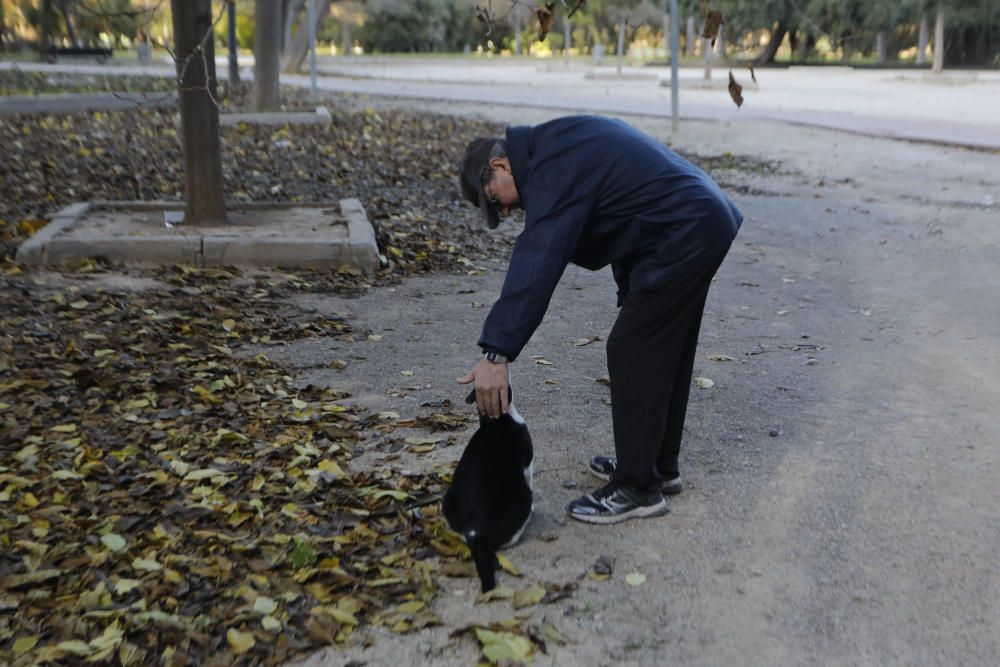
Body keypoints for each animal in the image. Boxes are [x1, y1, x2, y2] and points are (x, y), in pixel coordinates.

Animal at [446, 384, 536, 592]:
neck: (494, 423)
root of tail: (474, 532)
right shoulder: (528, 463)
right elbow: (529, 477)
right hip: (523, 498)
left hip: (448, 500)